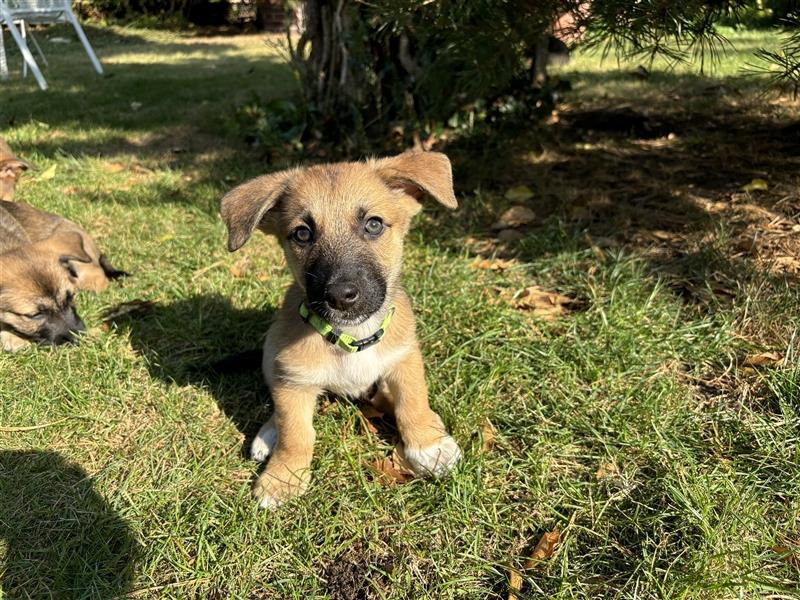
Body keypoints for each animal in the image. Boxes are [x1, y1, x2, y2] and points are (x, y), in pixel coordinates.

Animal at [222, 149, 466, 506]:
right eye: (302, 233)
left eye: (373, 224)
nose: (341, 295)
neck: (352, 338)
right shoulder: (293, 380)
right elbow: (295, 432)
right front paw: (283, 477)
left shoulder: (405, 358)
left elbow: (413, 400)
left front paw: (428, 444)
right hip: (272, 355)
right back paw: (268, 435)